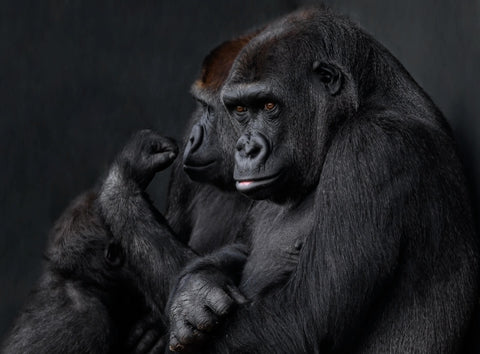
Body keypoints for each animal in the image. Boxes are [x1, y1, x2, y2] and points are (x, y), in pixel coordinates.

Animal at [166, 6, 480, 352]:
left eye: (269, 105)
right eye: (239, 110)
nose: (245, 149)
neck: (364, 98)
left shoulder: (371, 147)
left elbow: (300, 320)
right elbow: (240, 247)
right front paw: (196, 291)